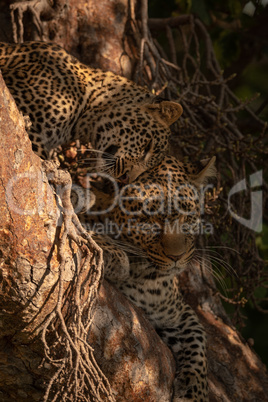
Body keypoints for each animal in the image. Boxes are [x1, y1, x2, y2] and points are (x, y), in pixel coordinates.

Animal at [84, 155, 218, 402]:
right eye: (151, 220)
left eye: (187, 217)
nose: (176, 257)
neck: (146, 277)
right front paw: (113, 254)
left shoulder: (178, 312)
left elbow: (199, 341)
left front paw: (194, 391)